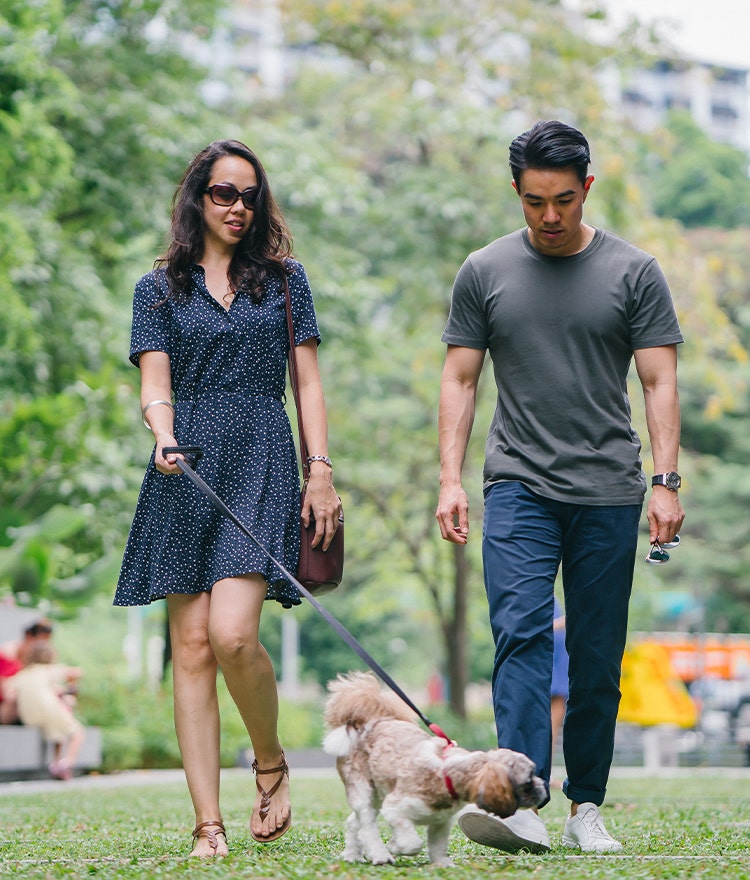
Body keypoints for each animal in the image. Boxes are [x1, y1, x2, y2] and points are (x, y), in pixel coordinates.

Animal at [324, 672, 548, 868]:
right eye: (528, 781)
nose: (543, 787)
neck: (446, 772)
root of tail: (367, 723)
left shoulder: (441, 822)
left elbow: (437, 846)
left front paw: (442, 864)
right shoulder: (395, 808)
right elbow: (412, 843)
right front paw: (396, 846)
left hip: (378, 793)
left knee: (355, 822)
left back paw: (353, 855)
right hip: (363, 790)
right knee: (367, 825)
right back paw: (381, 855)